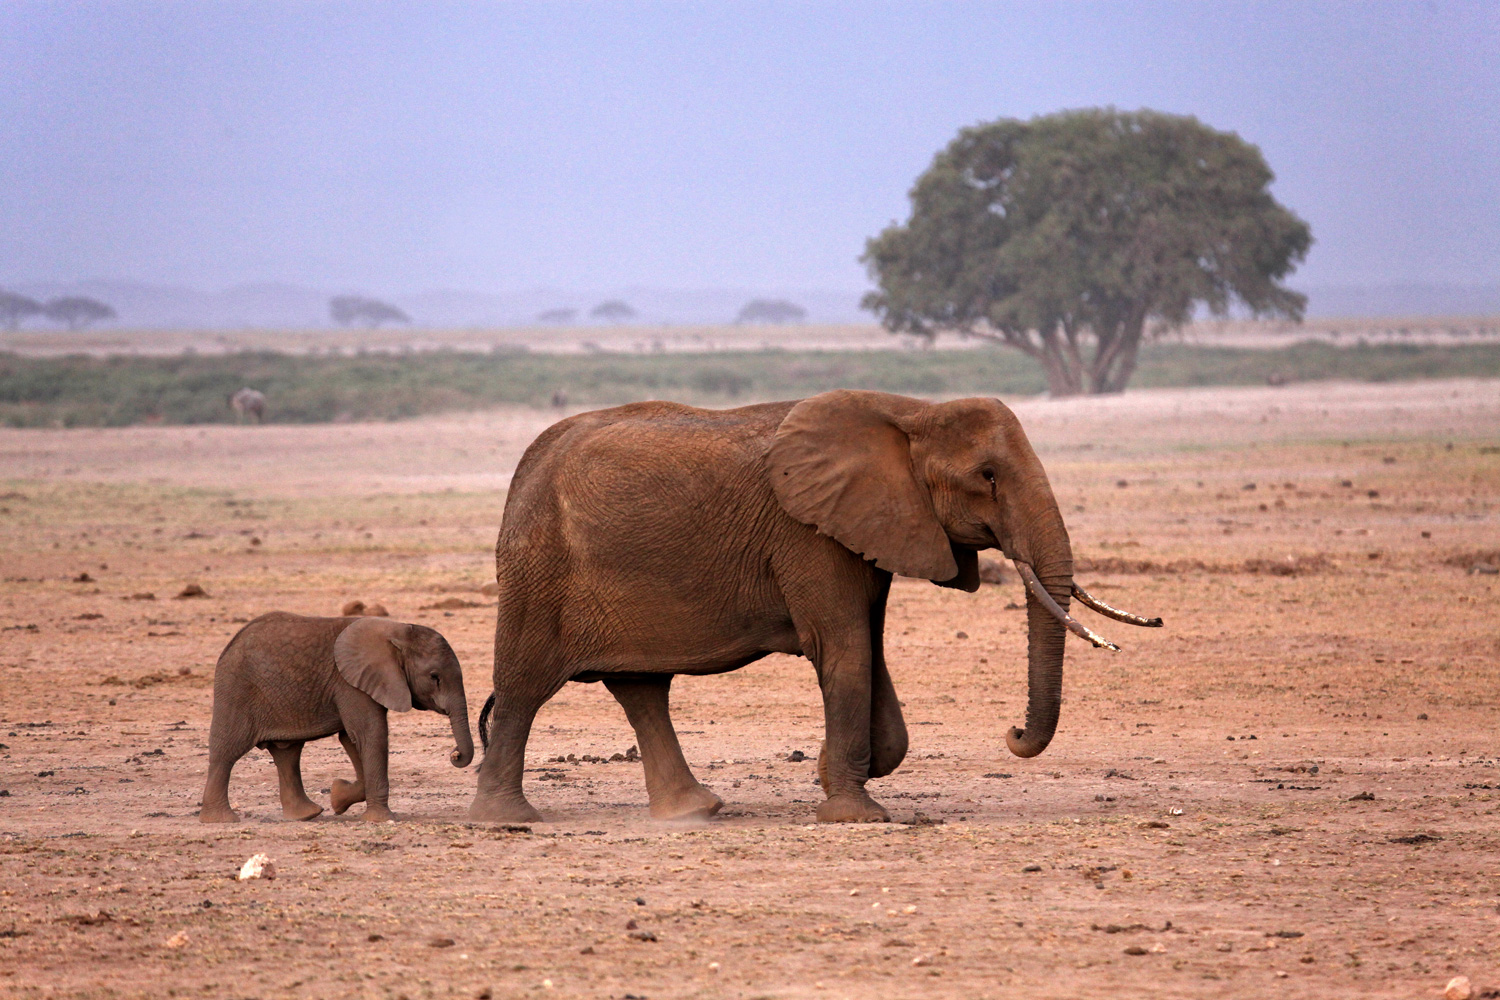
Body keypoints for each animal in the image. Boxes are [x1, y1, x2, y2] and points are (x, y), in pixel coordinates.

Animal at [196, 614, 471, 827]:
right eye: (434, 676)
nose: (455, 754)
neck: (398, 630)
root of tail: (230, 644)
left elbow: (352, 738)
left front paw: (338, 798)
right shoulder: (350, 683)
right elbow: (370, 733)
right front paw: (381, 819)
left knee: (287, 753)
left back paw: (307, 815)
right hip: (237, 690)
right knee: (227, 751)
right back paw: (221, 820)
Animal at [468, 389, 1158, 821]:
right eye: (987, 476)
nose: (1012, 733)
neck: (909, 412)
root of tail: (526, 464)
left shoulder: (870, 527)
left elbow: (868, 648)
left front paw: (834, 772)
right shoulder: (808, 531)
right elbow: (844, 649)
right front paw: (858, 815)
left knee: (640, 689)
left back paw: (694, 812)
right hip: (539, 568)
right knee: (526, 685)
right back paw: (506, 820)